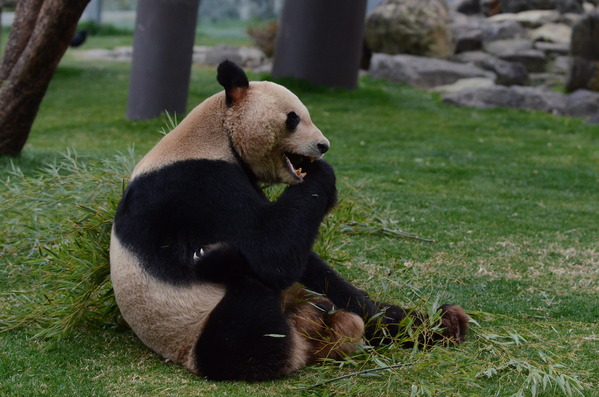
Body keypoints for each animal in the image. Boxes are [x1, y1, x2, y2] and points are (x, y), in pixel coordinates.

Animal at [111, 60, 468, 378]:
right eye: (293, 119)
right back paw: (217, 260)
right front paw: (321, 172)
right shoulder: (198, 185)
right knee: (251, 322)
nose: (323, 146)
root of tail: (301, 340)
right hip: (202, 325)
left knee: (349, 304)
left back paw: (442, 322)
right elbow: (271, 251)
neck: (214, 135)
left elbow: (302, 255)